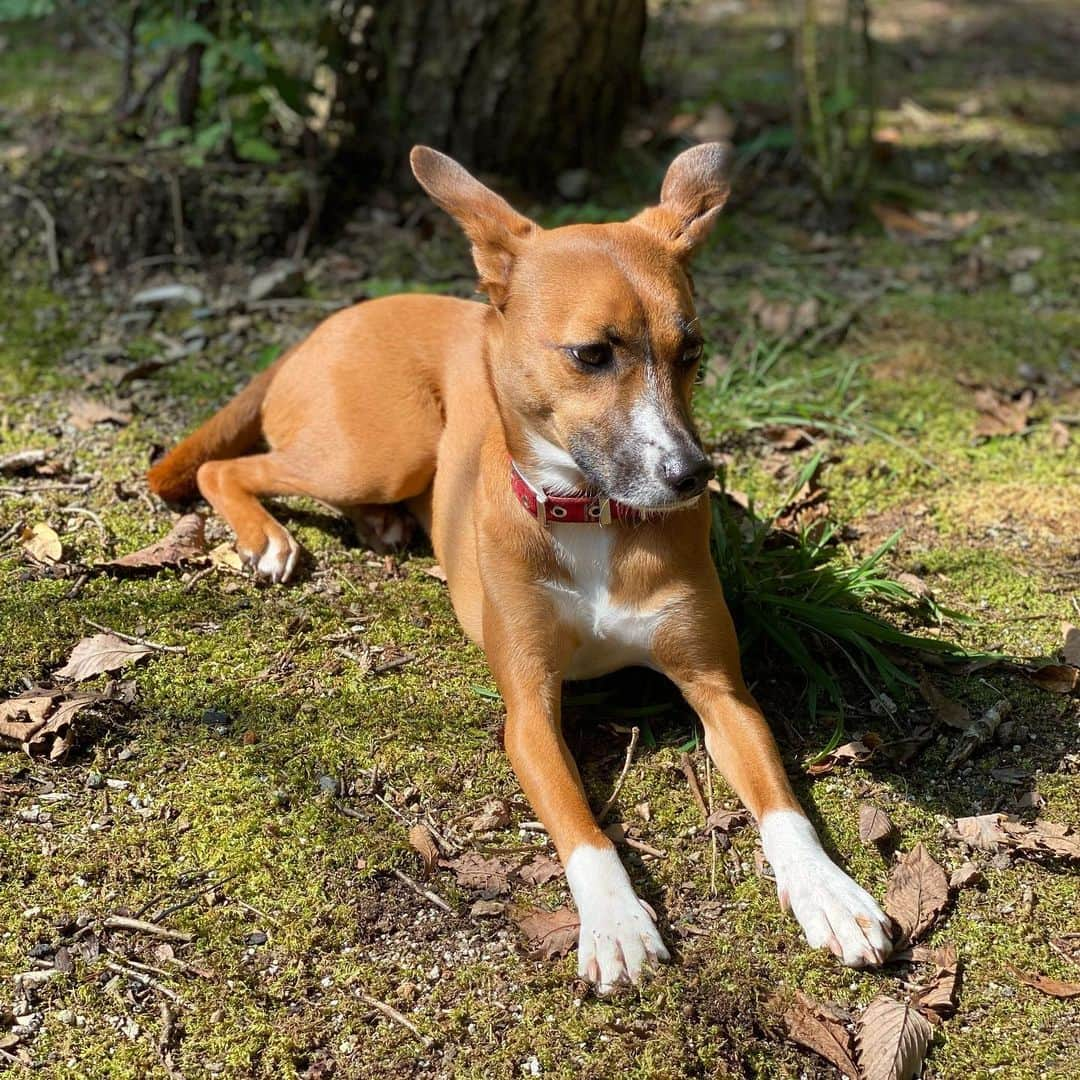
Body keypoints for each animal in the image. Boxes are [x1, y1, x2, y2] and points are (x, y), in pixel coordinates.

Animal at [152, 143, 894, 993]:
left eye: (692, 351)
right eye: (591, 354)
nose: (691, 476)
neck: (591, 512)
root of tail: (329, 323)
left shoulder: (721, 692)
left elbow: (781, 802)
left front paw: (828, 891)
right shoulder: (530, 710)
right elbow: (581, 826)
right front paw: (615, 919)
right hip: (374, 451)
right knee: (228, 469)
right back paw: (266, 536)